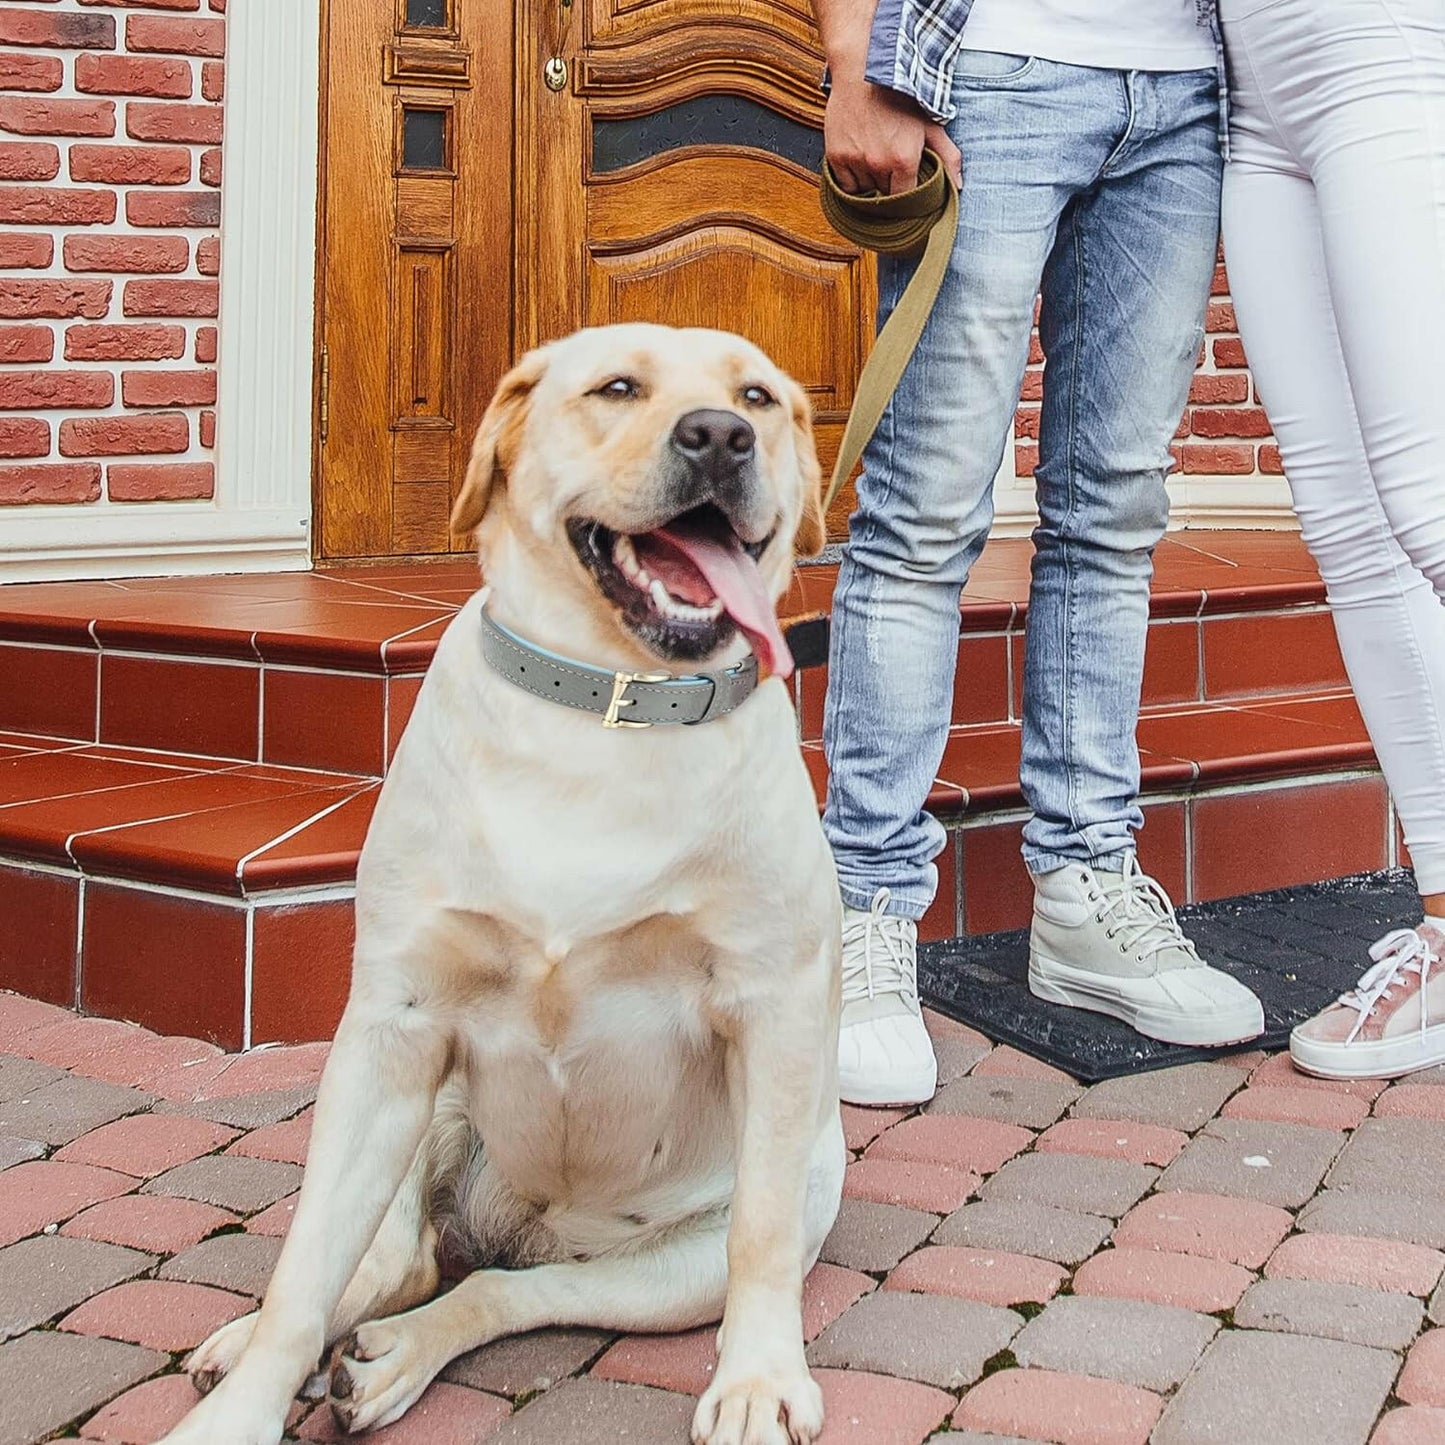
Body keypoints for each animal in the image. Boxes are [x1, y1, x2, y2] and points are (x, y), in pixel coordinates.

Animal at [161, 328, 843, 1445]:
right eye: (618, 387)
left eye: (756, 397)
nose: (719, 436)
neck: (612, 705)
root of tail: (527, 1223)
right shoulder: (391, 1024)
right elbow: (307, 1268)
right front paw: (241, 1407)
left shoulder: (774, 1011)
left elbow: (762, 1236)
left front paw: (755, 1380)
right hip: (409, 1098)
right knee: (394, 1258)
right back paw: (260, 1339)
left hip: (669, 1262)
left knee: (499, 1289)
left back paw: (391, 1357)